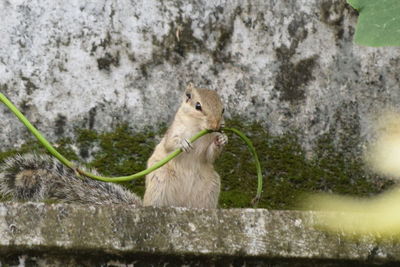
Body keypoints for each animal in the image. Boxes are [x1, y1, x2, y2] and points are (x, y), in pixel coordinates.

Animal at [0, 84, 227, 209]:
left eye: (223, 109)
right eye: (198, 106)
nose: (216, 125)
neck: (198, 128)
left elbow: (209, 156)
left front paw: (222, 140)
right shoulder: (172, 131)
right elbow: (171, 144)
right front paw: (184, 143)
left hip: (209, 189)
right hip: (161, 185)